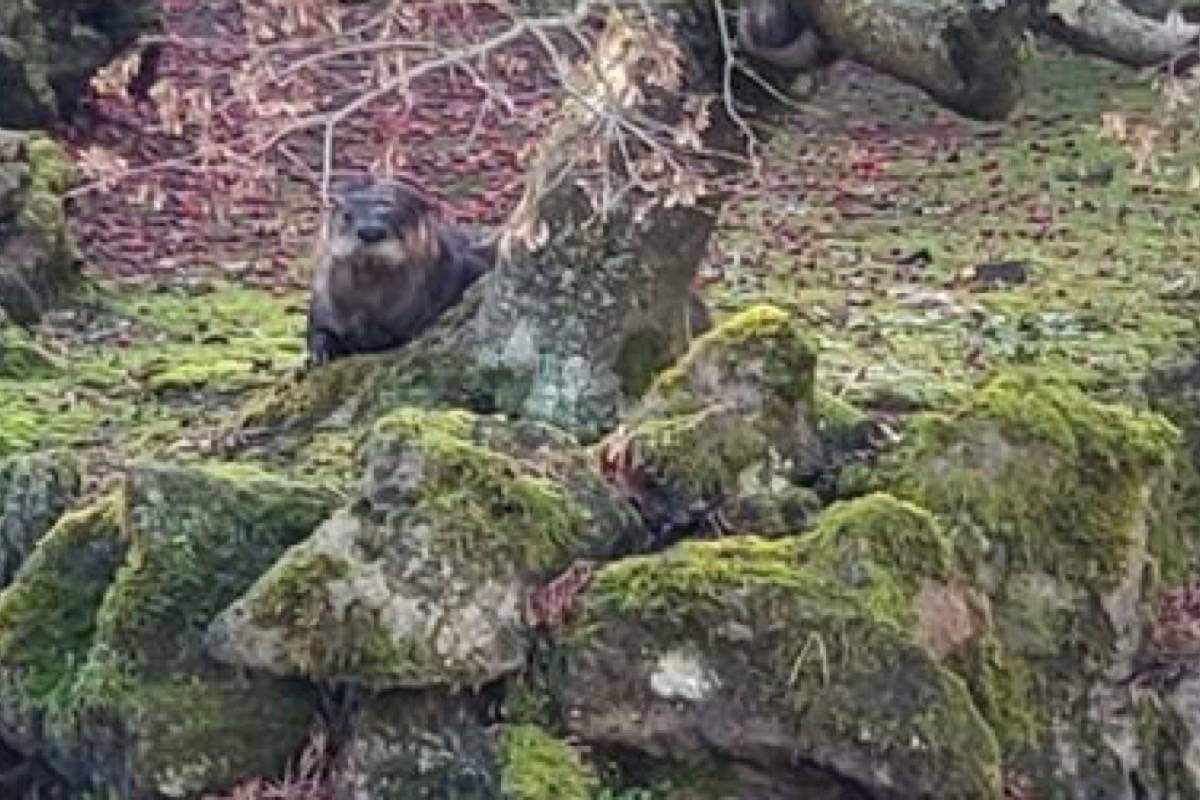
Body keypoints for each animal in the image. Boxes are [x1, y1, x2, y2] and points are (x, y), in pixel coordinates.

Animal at [304, 178, 492, 367]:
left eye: (393, 213)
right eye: (347, 216)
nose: (370, 232)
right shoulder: (322, 304)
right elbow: (319, 332)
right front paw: (320, 353)